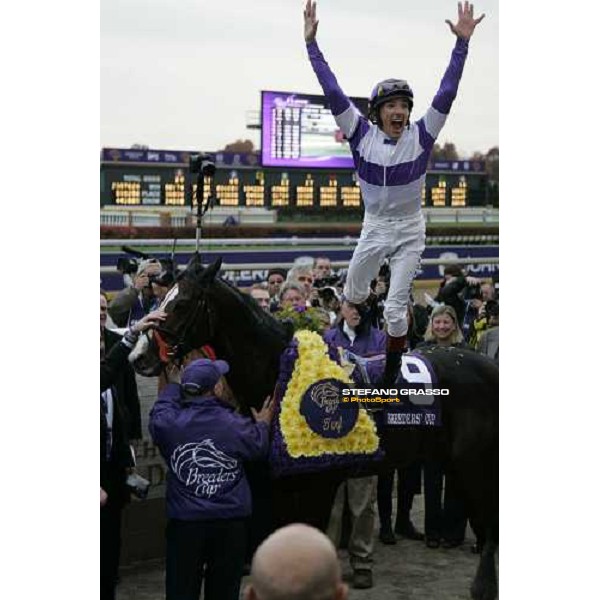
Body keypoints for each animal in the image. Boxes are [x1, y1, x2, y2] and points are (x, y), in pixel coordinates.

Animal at [134, 254, 500, 600]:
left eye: (181, 303)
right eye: (162, 298)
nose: (141, 355)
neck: (280, 373)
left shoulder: (321, 484)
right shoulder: (280, 485)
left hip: (475, 465)